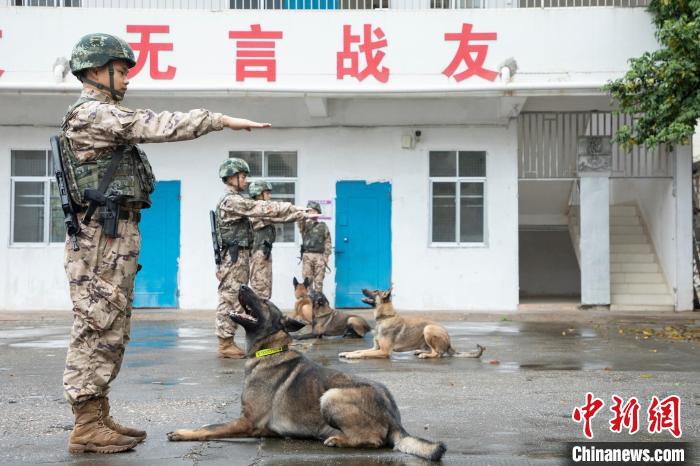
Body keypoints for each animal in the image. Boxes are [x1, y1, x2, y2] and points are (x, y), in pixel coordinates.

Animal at [167, 286, 446, 460]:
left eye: (265, 302)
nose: (243, 286)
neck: (268, 350)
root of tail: (393, 416)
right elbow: (209, 425)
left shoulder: (247, 422)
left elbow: (209, 427)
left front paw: (183, 433)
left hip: (331, 396)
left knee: (375, 440)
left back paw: (339, 440)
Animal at [340, 288, 486, 360]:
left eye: (375, 291)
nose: (362, 288)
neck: (385, 317)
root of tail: (449, 342)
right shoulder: (375, 348)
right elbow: (359, 350)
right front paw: (347, 352)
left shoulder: (384, 351)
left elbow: (362, 353)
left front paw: (351, 355)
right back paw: (420, 351)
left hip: (428, 329)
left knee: (438, 353)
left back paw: (425, 355)